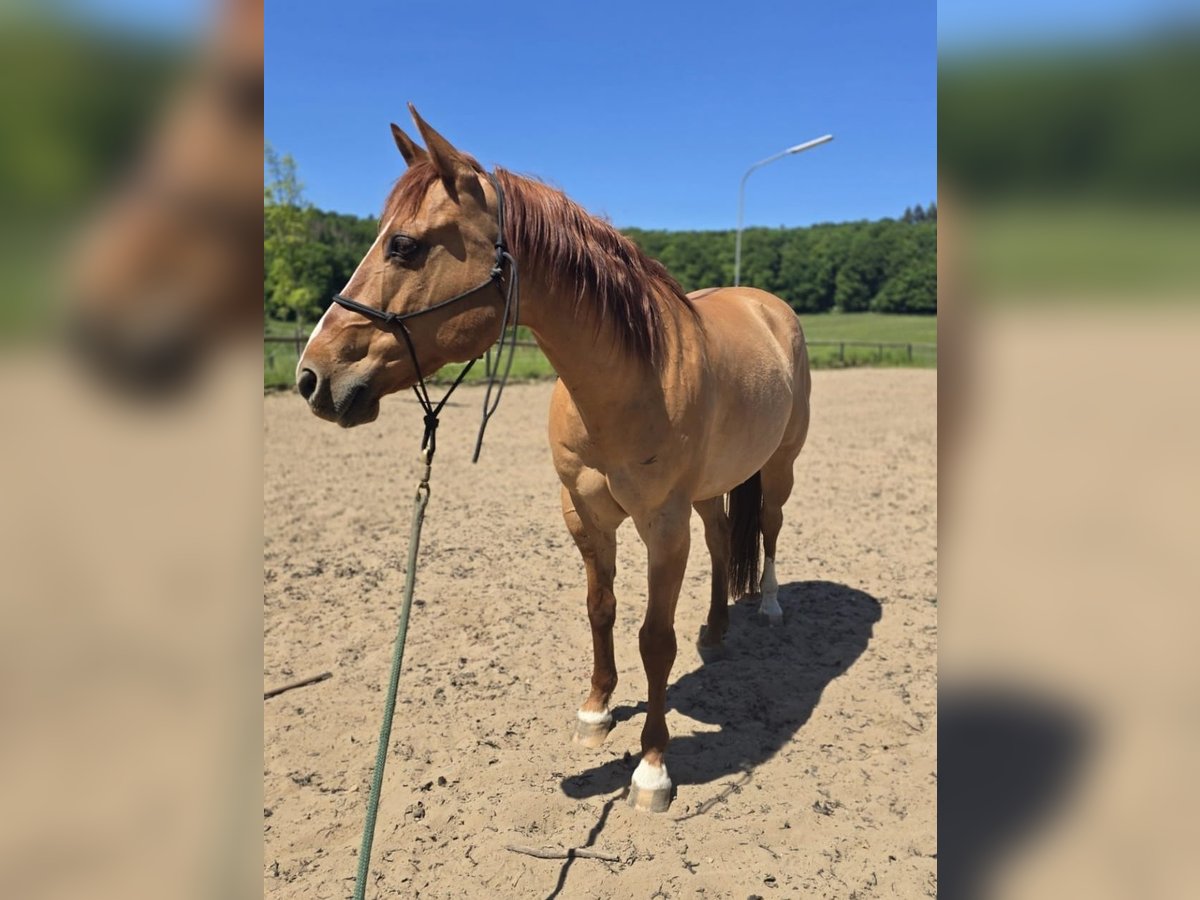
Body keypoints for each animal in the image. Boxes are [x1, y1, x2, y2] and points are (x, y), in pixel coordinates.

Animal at [297, 106, 811, 812]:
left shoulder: (662, 525)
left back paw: (770, 607)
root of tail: (768, 305)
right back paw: (715, 630)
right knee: (721, 537)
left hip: (779, 468)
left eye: (404, 245)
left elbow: (655, 640)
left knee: (769, 527)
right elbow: (601, 610)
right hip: (711, 489)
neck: (631, 378)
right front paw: (596, 710)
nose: (312, 377)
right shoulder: (584, 514)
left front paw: (652, 767)